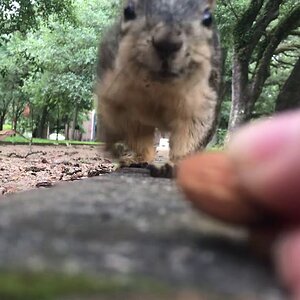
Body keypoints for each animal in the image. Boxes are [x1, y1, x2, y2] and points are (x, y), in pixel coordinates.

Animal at [95, 0, 221, 172]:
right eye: (128, 11)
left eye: (208, 19)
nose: (167, 43)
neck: (158, 86)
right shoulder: (112, 92)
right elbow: (125, 127)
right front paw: (114, 145)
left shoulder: (201, 102)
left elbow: (189, 133)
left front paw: (179, 162)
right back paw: (137, 159)